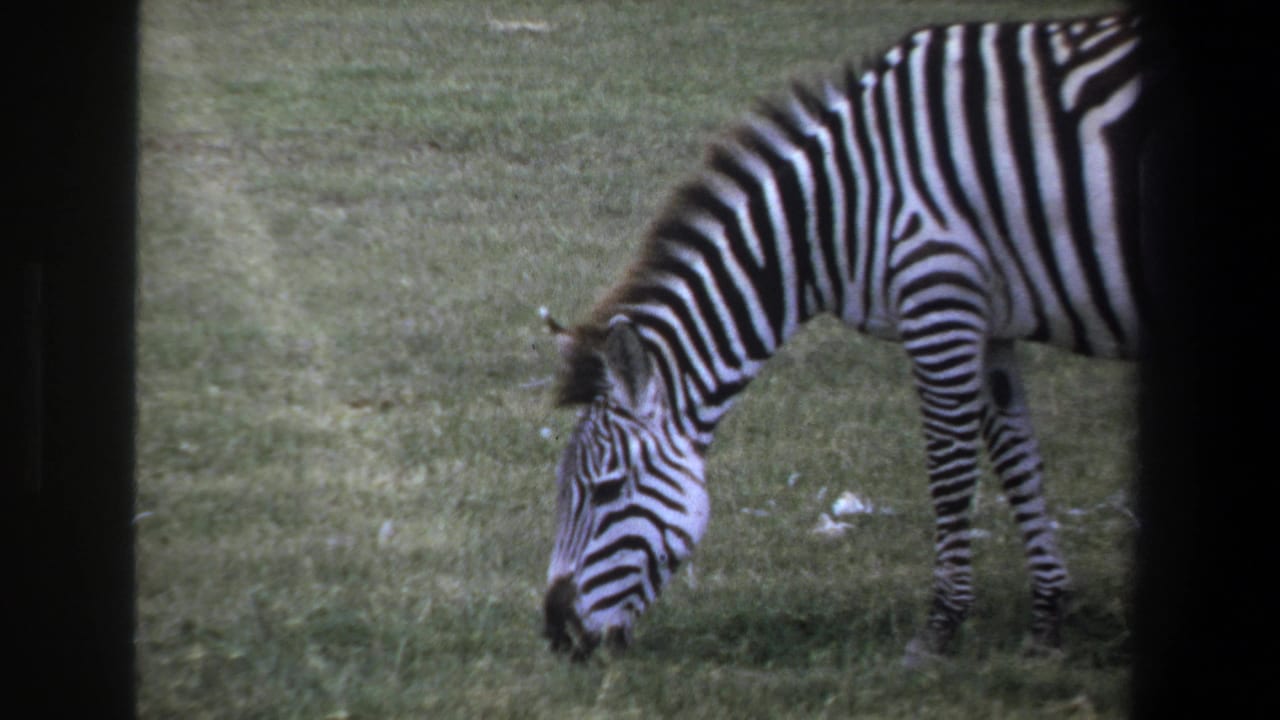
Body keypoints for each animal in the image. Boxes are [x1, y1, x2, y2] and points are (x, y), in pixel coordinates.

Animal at [542, 12, 1165, 662]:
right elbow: (1018, 463)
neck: (837, 212)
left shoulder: (939, 300)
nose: (557, 634)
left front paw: (941, 626)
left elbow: (949, 469)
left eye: (607, 491)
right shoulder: (988, 323)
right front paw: (1047, 619)